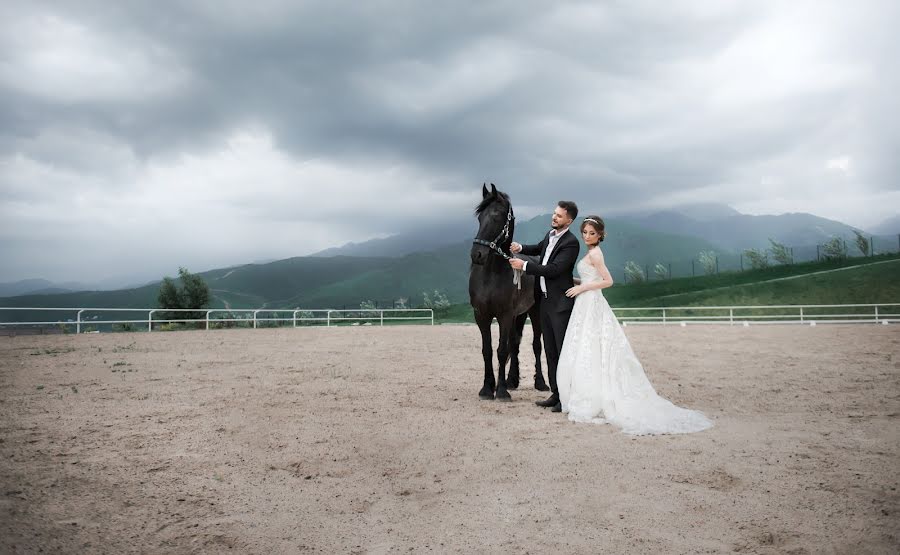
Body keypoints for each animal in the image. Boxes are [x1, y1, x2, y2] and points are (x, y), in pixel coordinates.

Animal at [472, 185, 548, 402]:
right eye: (479, 217)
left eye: (497, 216)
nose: (477, 255)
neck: (491, 275)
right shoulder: (482, 315)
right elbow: (488, 350)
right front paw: (487, 388)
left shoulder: (504, 315)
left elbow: (501, 349)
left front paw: (501, 391)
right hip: (519, 315)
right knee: (515, 343)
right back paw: (512, 380)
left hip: (534, 312)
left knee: (536, 345)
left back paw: (540, 382)